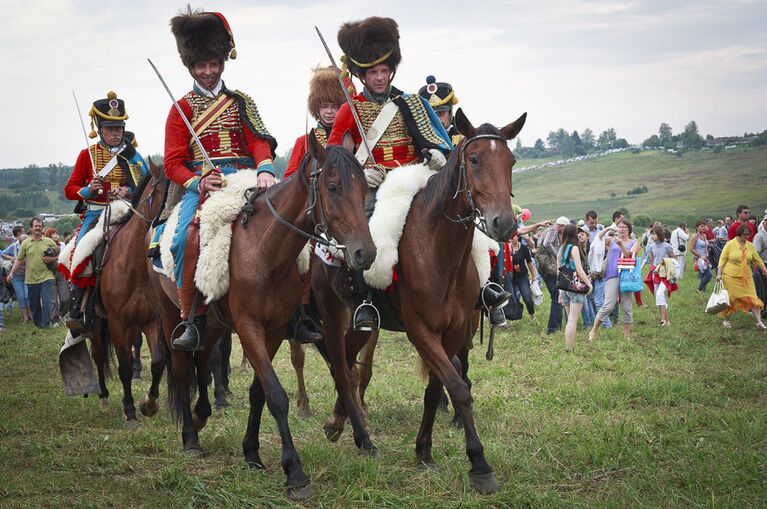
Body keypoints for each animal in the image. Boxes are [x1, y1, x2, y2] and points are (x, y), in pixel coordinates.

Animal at [88, 159, 170, 424]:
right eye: (162, 191)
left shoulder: (152, 320)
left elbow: (157, 362)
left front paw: (150, 404)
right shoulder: (116, 321)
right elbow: (123, 367)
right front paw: (131, 411)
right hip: (97, 324)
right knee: (98, 354)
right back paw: (103, 397)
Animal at [149, 133, 376, 498]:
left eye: (362, 189)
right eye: (332, 186)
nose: (365, 253)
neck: (265, 252)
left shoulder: (274, 330)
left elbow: (261, 391)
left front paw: (252, 453)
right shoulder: (249, 328)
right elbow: (277, 395)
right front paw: (295, 472)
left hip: (215, 323)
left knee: (204, 359)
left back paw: (201, 415)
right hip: (172, 315)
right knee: (183, 369)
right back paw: (191, 439)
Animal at [312, 110, 528, 492]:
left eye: (511, 161)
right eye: (474, 160)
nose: (504, 223)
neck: (440, 252)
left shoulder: (454, 331)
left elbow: (437, 387)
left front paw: (424, 450)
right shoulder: (421, 331)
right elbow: (457, 387)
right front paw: (479, 464)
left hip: (365, 325)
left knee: (349, 364)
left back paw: (338, 421)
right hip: (332, 315)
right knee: (340, 366)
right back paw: (352, 431)